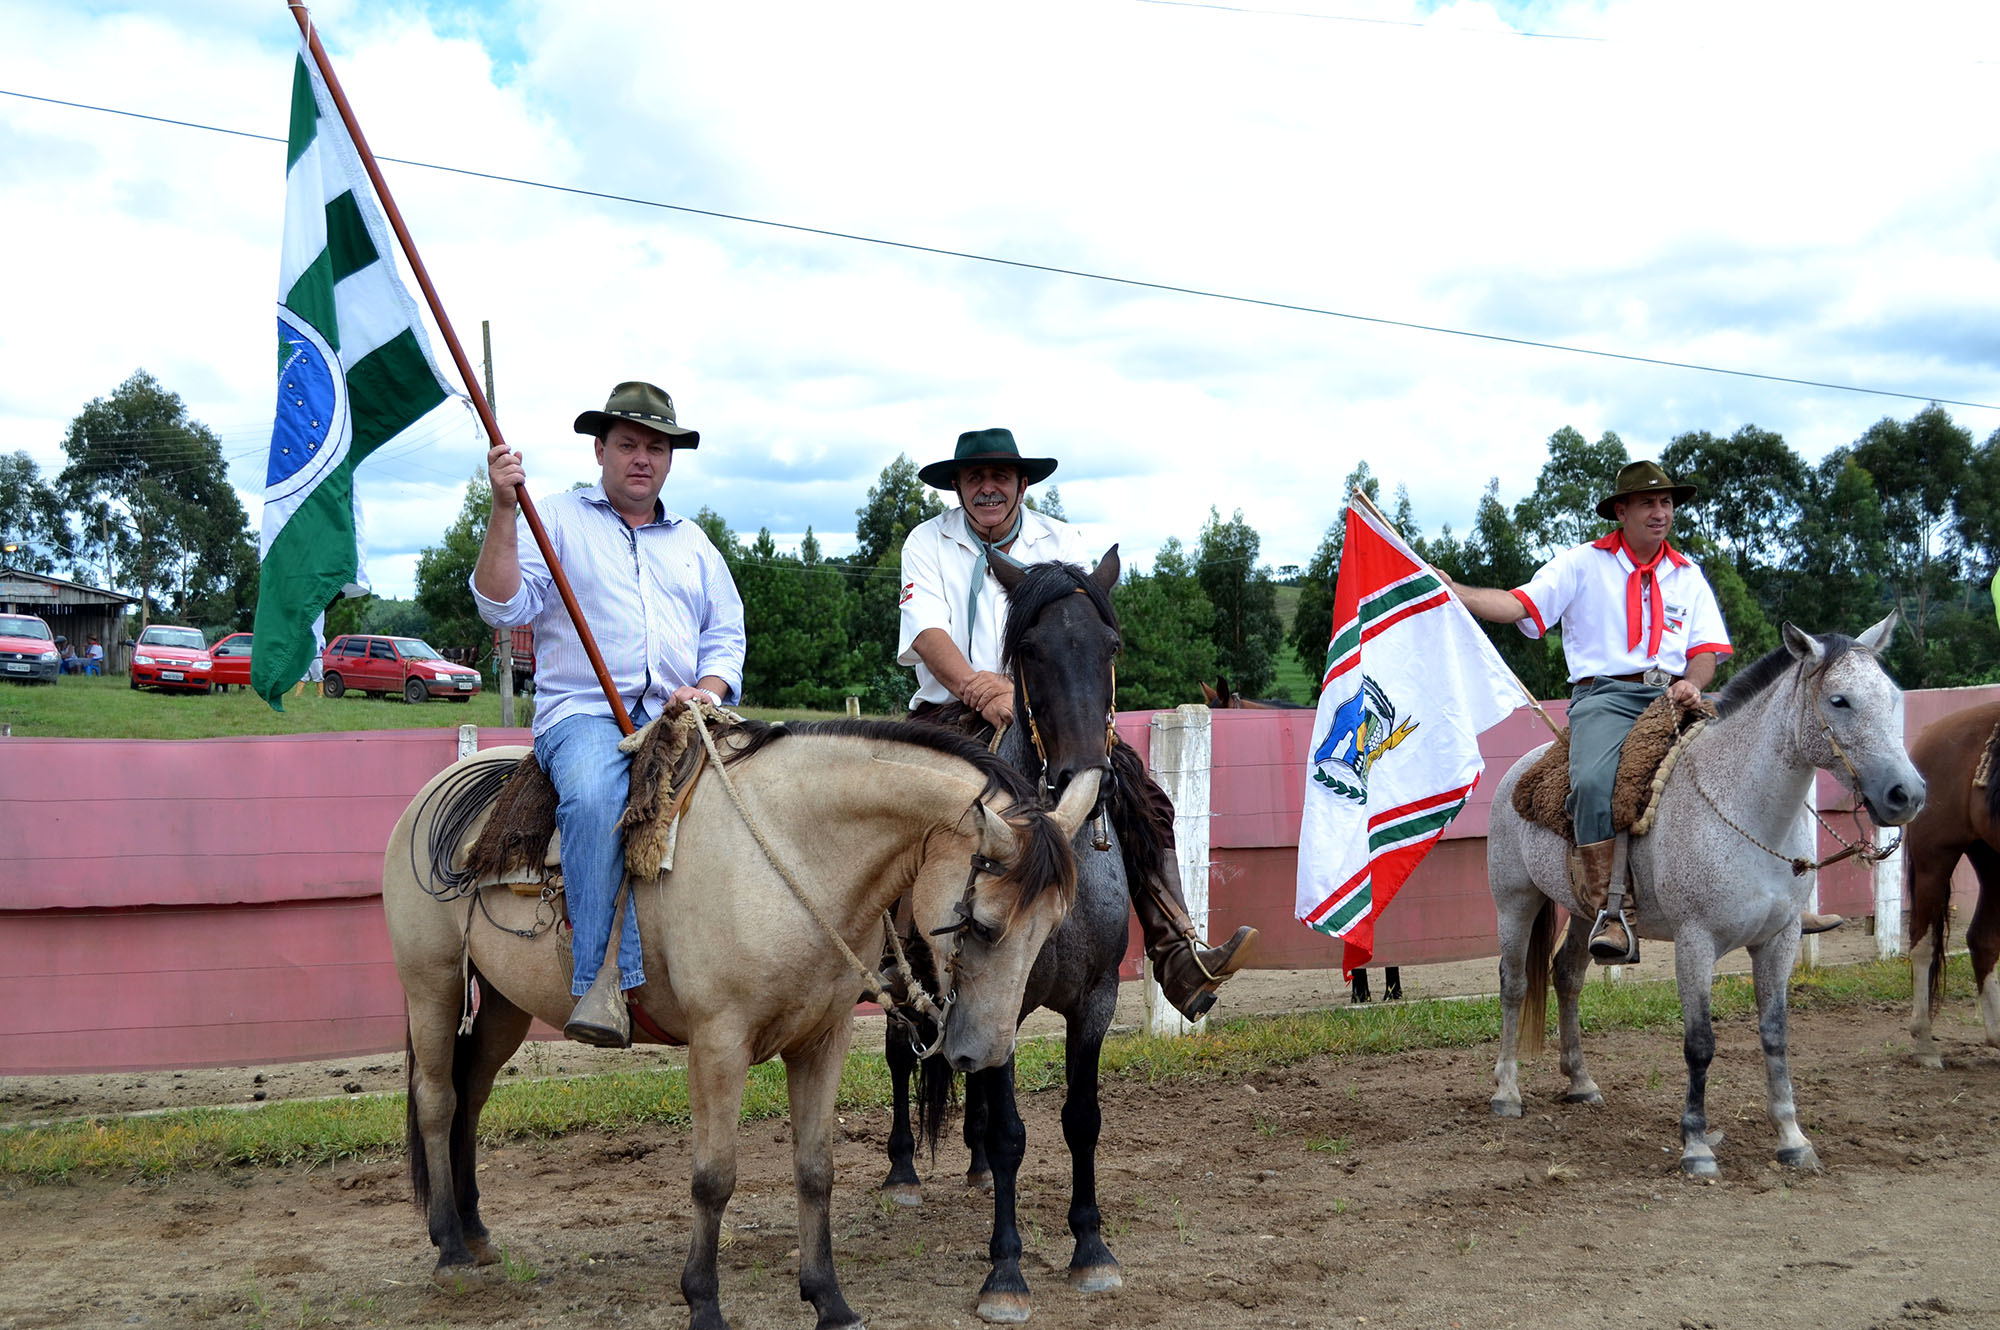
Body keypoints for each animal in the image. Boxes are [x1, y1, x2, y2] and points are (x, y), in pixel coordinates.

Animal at [382, 716, 1104, 1328]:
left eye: (1050, 927)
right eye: (980, 923)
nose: (984, 1054)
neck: (794, 853)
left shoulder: (822, 1040)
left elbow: (815, 1169)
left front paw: (829, 1300)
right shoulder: (718, 1045)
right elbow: (714, 1177)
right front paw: (703, 1304)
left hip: (504, 1002)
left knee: (473, 1091)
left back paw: (475, 1234)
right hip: (431, 983)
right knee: (438, 1098)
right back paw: (450, 1249)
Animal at [1488, 612, 1920, 1176]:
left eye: (1892, 696)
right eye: (1839, 700)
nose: (1906, 795)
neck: (1744, 808)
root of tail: (1522, 769)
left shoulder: (1779, 941)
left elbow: (1775, 1034)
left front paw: (1792, 1137)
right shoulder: (1696, 943)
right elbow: (1699, 1042)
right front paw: (1695, 1144)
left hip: (1584, 910)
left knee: (1567, 975)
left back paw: (1580, 1082)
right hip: (1515, 901)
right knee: (1515, 984)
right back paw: (1506, 1091)